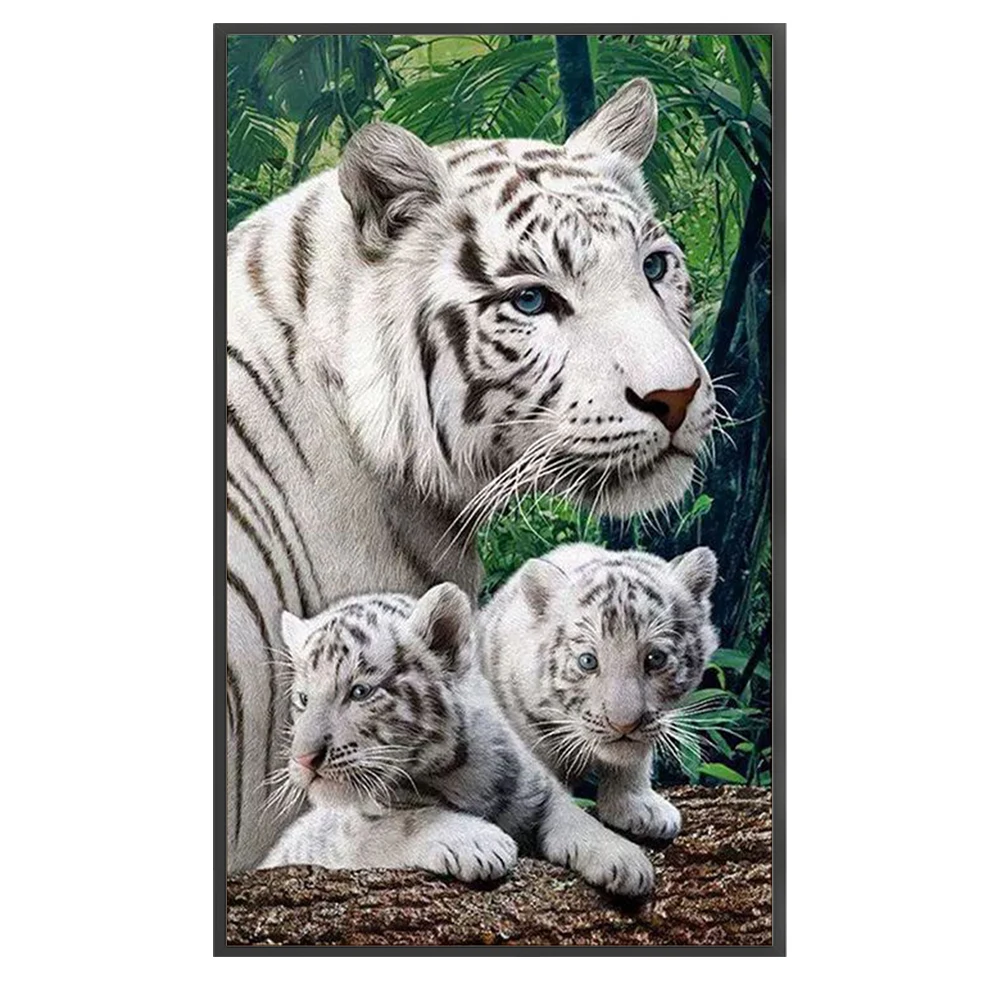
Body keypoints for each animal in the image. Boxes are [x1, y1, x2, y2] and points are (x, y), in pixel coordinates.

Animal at [261, 583, 655, 896]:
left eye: (360, 692)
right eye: (303, 699)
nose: (303, 759)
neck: (456, 772)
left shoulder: (537, 788)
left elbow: (573, 815)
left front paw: (626, 860)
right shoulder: (343, 836)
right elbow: (403, 822)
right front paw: (480, 842)